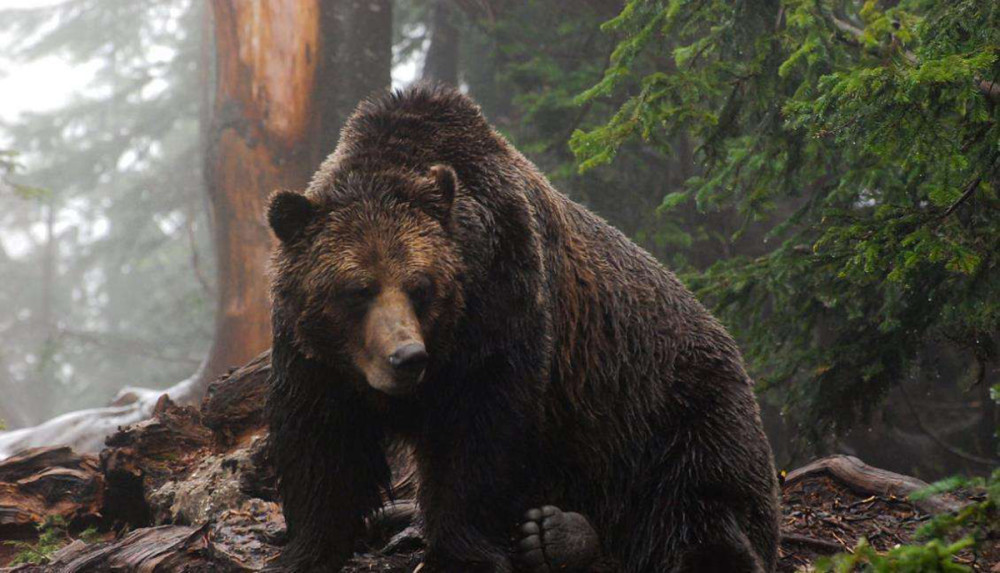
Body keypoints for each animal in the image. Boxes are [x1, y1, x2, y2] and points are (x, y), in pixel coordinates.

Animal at [266, 82, 780, 568]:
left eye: (420, 286)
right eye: (358, 289)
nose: (407, 357)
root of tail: (729, 340)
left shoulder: (500, 308)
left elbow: (479, 436)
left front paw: (462, 554)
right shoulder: (316, 357)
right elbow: (321, 443)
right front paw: (308, 549)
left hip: (674, 406)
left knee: (701, 498)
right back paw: (548, 533)